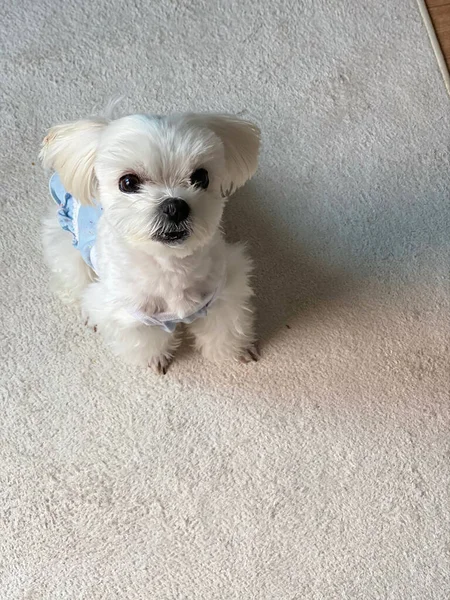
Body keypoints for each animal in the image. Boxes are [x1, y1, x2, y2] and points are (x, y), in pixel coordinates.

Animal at [41, 112, 262, 372]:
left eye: (201, 177)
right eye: (127, 182)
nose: (175, 207)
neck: (170, 265)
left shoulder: (223, 292)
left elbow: (226, 327)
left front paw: (236, 351)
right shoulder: (131, 316)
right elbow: (144, 341)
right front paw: (156, 358)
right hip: (66, 243)